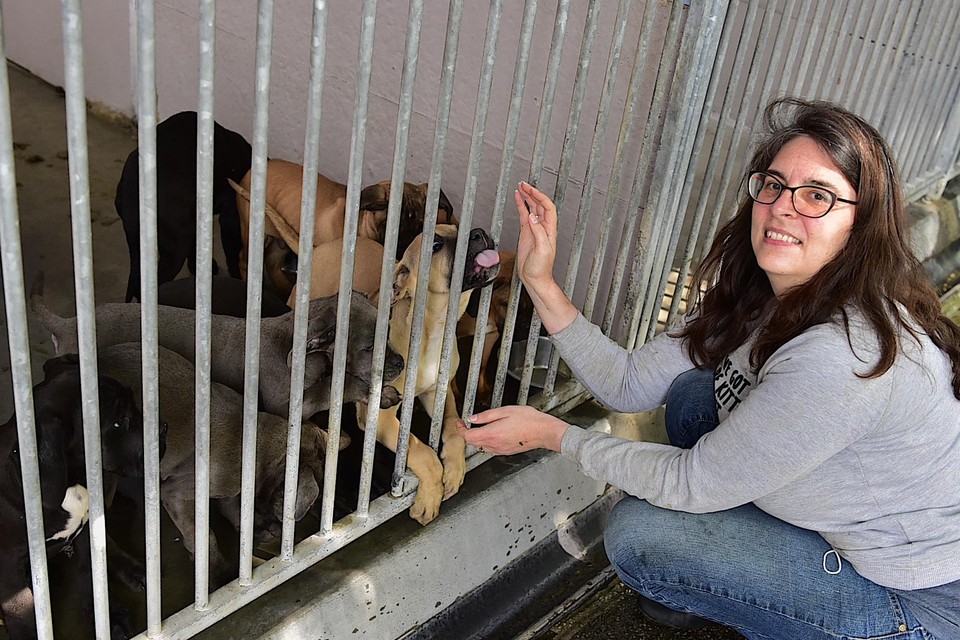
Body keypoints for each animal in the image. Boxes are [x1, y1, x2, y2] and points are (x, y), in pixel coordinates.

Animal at [0, 358, 166, 636]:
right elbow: (22, 615)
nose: (163, 428)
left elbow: (90, 573)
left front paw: (107, 616)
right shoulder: (9, 569)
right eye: (119, 421)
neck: (74, 480)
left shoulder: (89, 528)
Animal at [31, 274, 404, 416]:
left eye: (388, 330)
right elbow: (337, 387)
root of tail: (67, 323)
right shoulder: (287, 407)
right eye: (367, 347)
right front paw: (376, 392)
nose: (401, 364)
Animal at [98, 342, 342, 588]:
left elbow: (233, 505)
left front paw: (257, 525)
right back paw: (129, 569)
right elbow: (204, 536)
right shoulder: (176, 494)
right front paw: (218, 572)